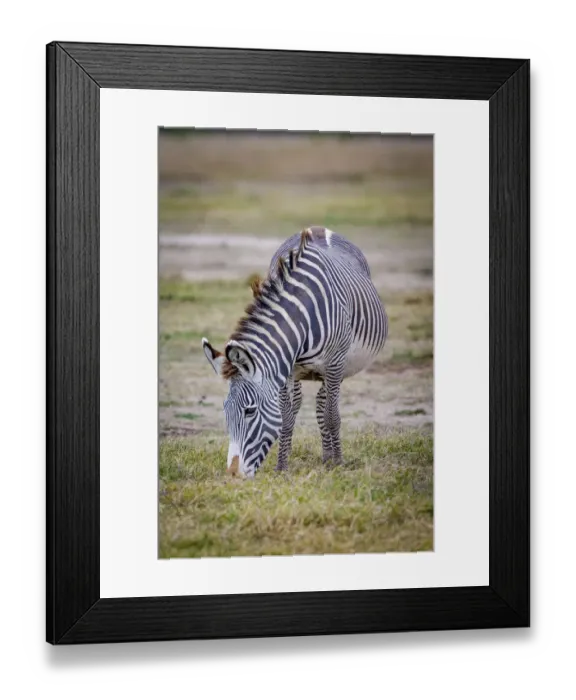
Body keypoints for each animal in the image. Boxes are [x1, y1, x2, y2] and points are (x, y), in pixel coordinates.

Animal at [202, 226, 388, 478]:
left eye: (250, 411)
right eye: (225, 411)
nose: (233, 474)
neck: (302, 318)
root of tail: (319, 228)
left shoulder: (335, 364)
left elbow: (332, 416)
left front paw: (339, 464)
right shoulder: (285, 370)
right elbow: (286, 417)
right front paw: (282, 466)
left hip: (337, 369)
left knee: (323, 406)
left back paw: (330, 458)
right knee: (310, 403)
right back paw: (324, 456)